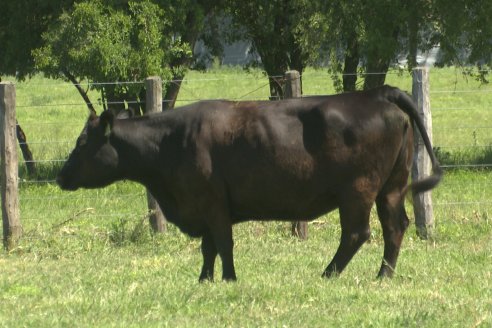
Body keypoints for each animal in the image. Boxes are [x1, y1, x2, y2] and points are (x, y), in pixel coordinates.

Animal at [57, 85, 442, 282]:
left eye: (81, 143)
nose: (61, 176)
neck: (170, 141)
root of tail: (379, 92)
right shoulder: (205, 208)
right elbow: (209, 248)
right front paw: (205, 280)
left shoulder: (213, 203)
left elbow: (222, 244)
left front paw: (228, 279)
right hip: (391, 187)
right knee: (395, 226)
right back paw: (383, 275)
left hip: (358, 191)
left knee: (357, 233)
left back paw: (328, 274)